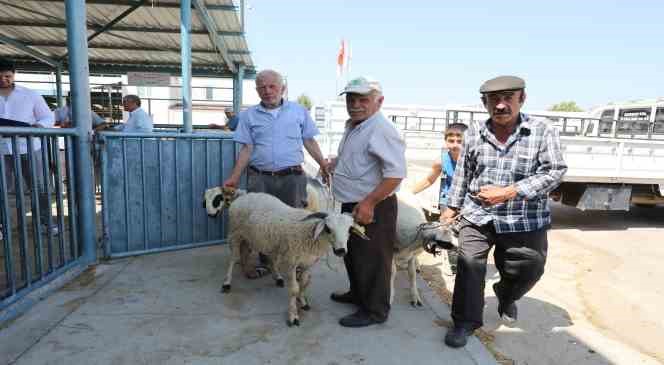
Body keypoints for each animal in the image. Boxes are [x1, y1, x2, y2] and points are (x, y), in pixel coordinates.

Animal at [219, 192, 368, 326]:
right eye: (328, 228)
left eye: (349, 230)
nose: (341, 251)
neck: (309, 233)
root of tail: (244, 196)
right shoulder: (291, 262)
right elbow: (294, 289)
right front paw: (293, 316)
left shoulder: (307, 263)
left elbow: (304, 283)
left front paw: (303, 302)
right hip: (235, 233)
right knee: (233, 258)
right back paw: (227, 283)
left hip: (258, 239)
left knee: (254, 255)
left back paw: (266, 275)